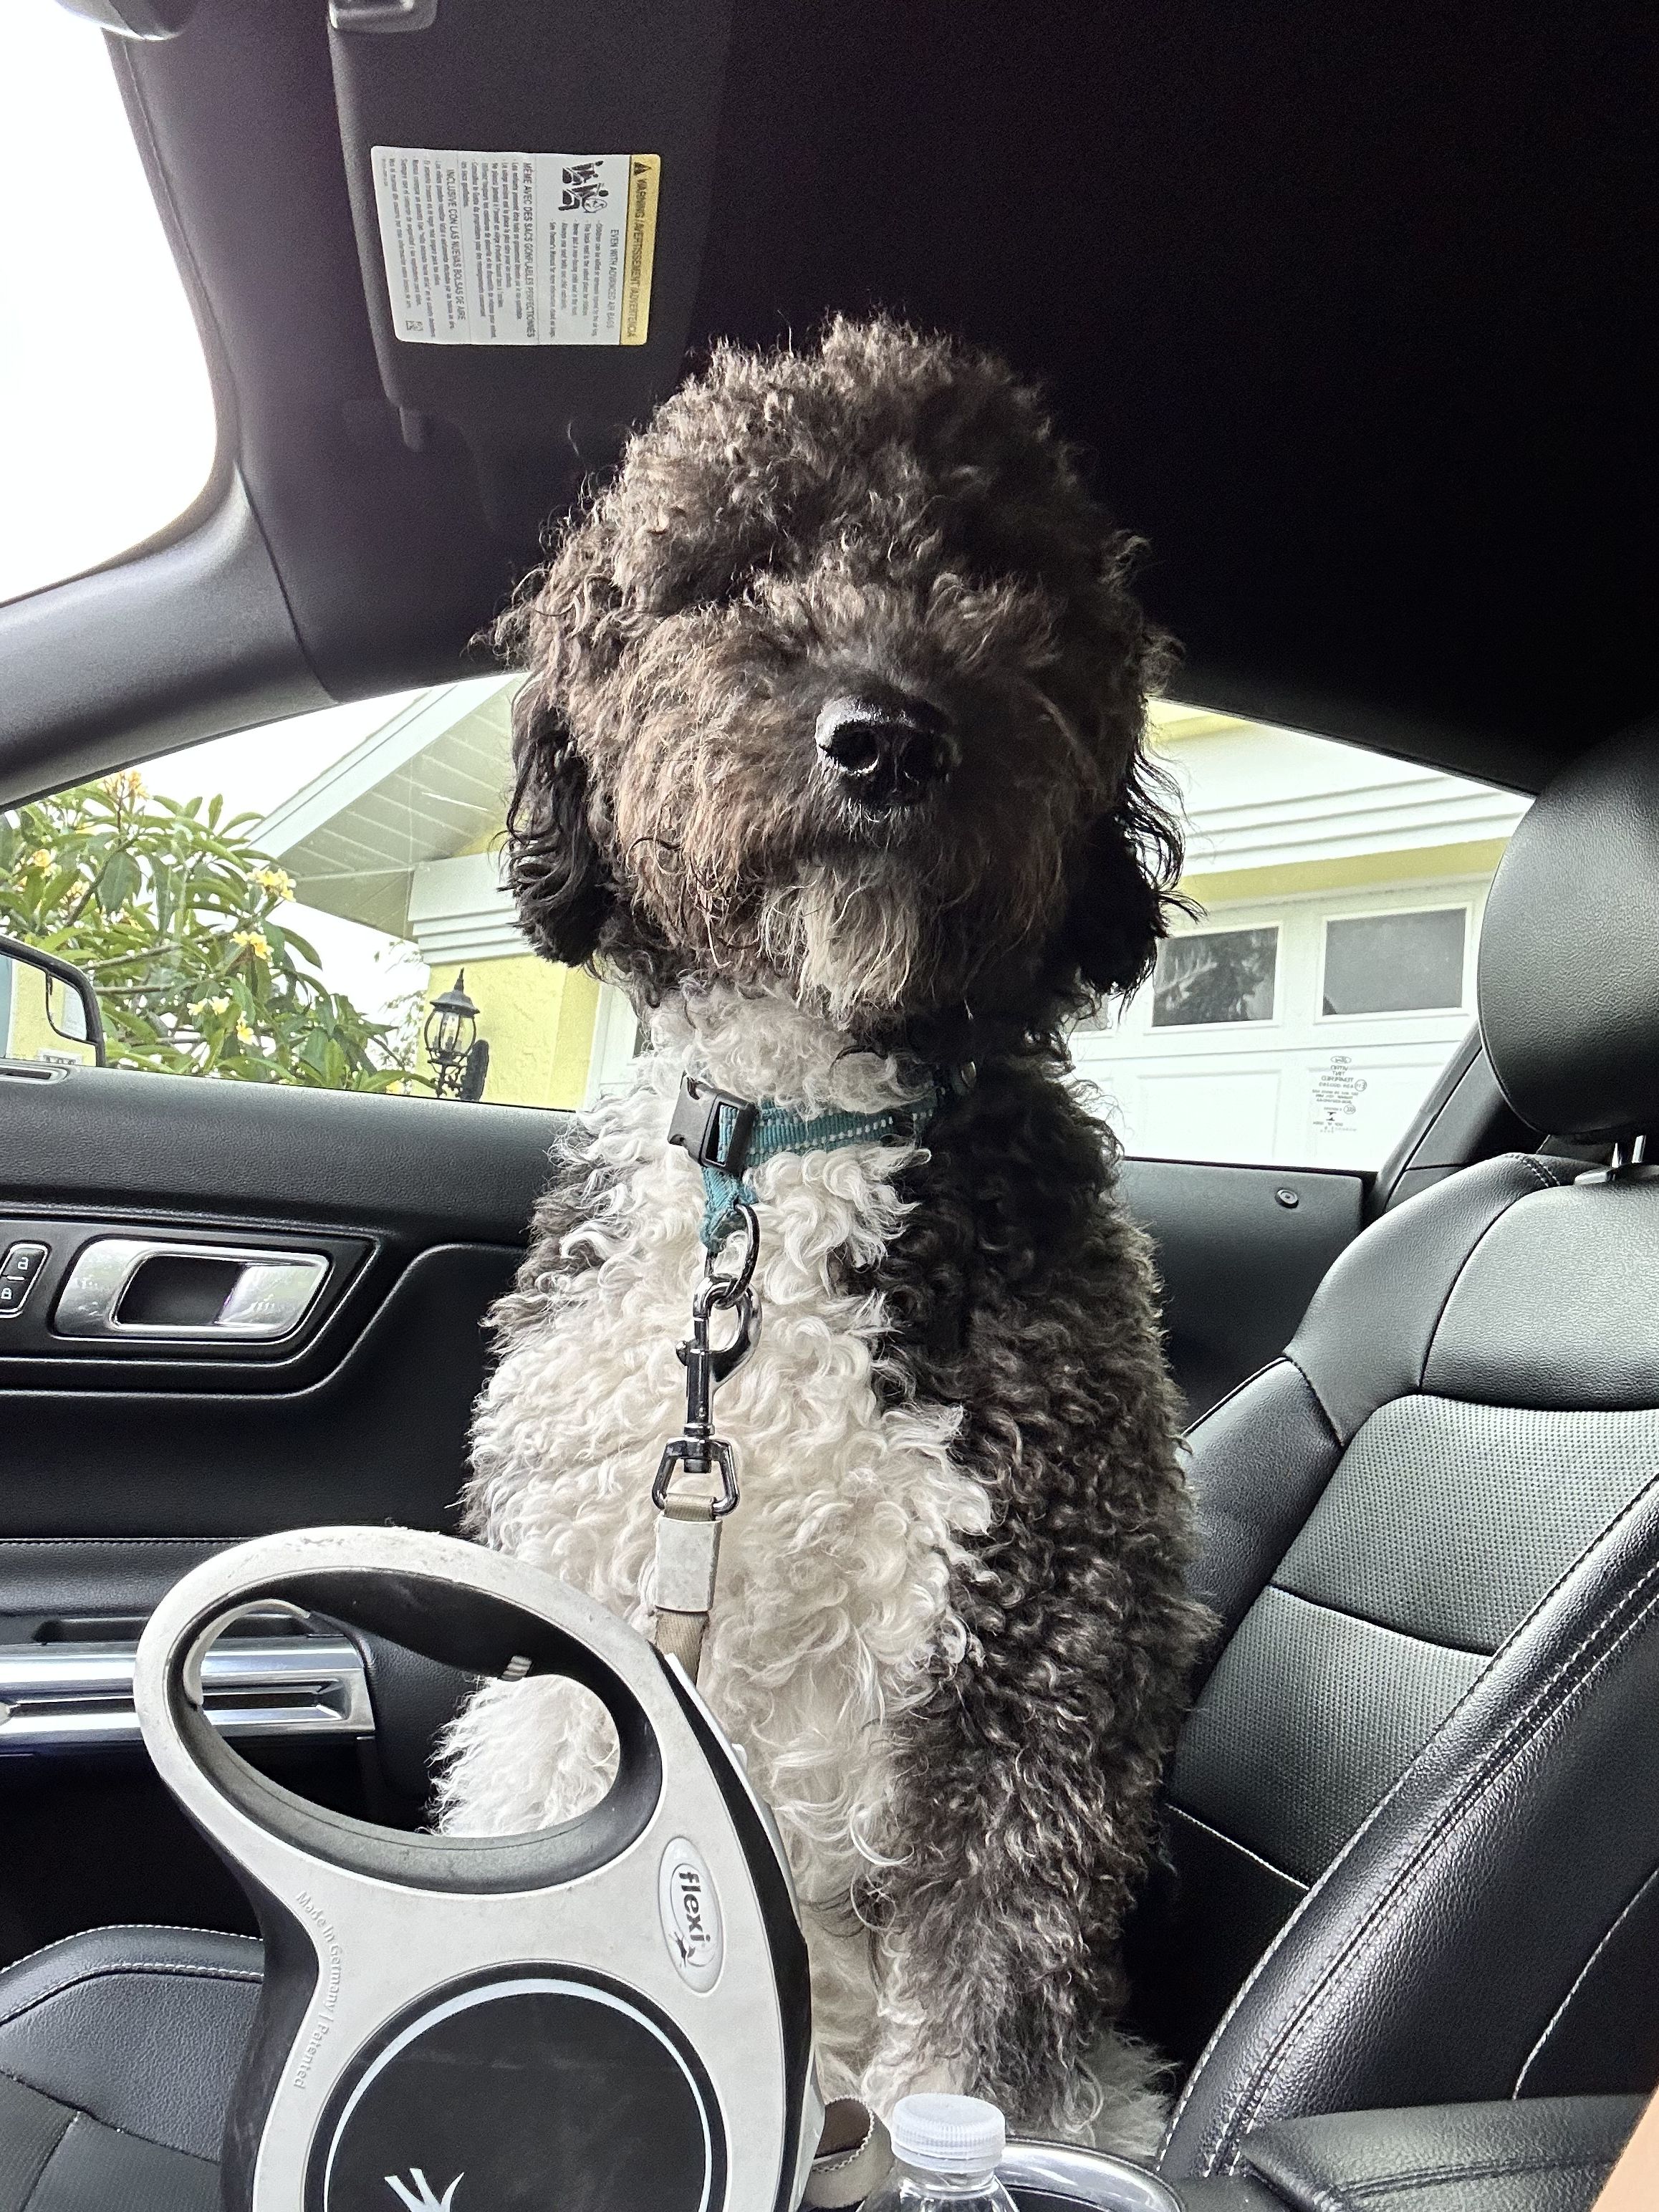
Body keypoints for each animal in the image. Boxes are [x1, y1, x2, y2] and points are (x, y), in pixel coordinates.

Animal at [437, 316, 1210, 2153]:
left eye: (993, 570)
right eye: (736, 570)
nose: (889, 736)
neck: (784, 1148)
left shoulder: (1031, 1669)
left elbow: (980, 2023)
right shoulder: (587, 1637)